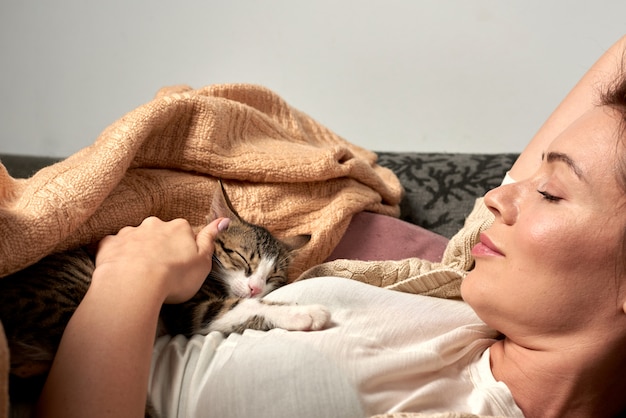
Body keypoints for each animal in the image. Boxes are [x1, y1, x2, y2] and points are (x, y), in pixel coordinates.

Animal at [0, 182, 330, 412]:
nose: (255, 287)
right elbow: (238, 307)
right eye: (242, 259)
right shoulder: (189, 308)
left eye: (274, 277)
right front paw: (304, 313)